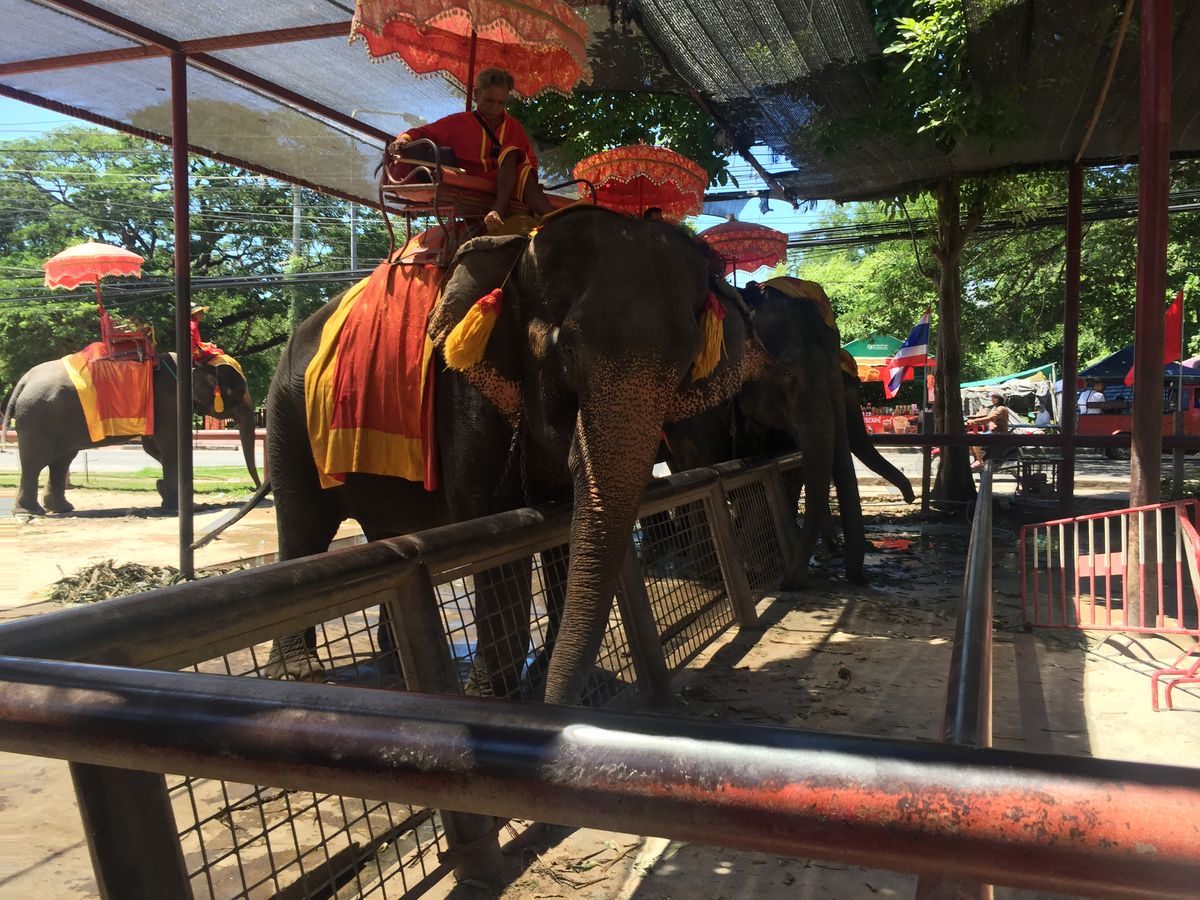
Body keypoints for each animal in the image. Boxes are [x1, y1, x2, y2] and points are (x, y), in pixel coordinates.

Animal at [4, 352, 259, 515]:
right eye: (239, 392)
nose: (255, 489)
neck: (196, 362)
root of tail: (23, 381)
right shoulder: (170, 402)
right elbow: (170, 447)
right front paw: (182, 505)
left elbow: (154, 448)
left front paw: (164, 493)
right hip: (39, 417)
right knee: (36, 461)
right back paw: (31, 511)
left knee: (61, 460)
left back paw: (61, 509)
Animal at [262, 207, 769, 706]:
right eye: (568, 347)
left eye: (688, 362)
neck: (519, 247)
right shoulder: (463, 390)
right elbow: (494, 527)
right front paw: (496, 698)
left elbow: (564, 528)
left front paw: (547, 678)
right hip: (286, 419)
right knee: (304, 529)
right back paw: (299, 672)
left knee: (380, 531)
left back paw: (388, 658)